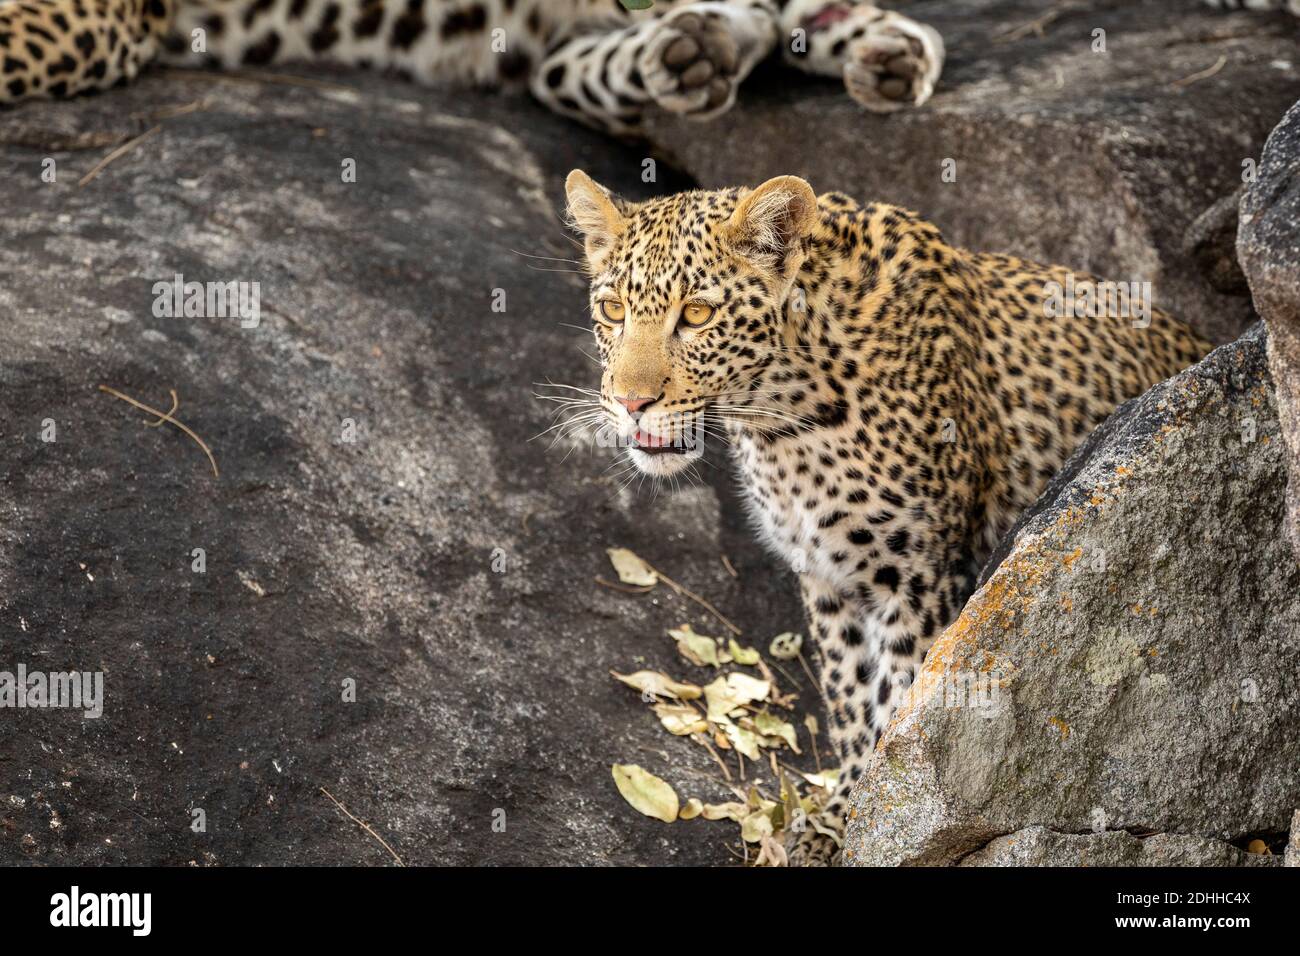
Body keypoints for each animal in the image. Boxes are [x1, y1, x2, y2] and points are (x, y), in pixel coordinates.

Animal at [564, 171, 1211, 868]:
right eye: (613, 310)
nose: (629, 403)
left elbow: (902, 706)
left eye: (698, 314)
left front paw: (885, 825)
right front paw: (841, 815)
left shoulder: (922, 579)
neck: (786, 420)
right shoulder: (828, 577)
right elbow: (851, 699)